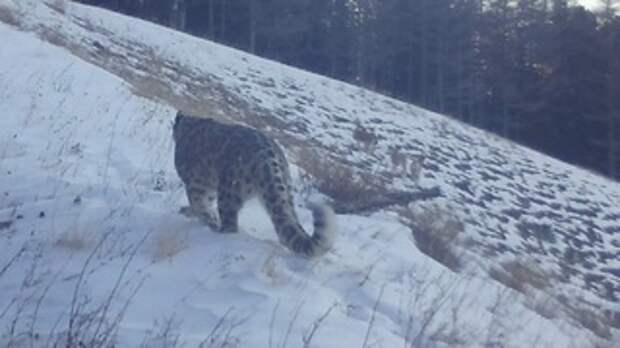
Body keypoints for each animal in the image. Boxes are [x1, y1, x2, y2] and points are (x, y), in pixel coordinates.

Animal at [172, 111, 336, 258]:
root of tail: (270, 157)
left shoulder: (196, 185)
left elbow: (200, 205)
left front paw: (198, 216)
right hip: (286, 192)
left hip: (228, 192)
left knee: (230, 224)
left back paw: (218, 234)